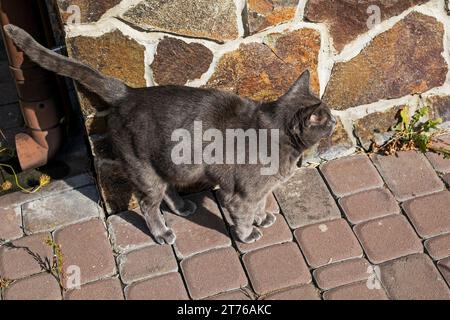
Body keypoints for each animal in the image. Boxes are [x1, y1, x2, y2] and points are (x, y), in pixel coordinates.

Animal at [2, 25, 334, 244]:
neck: (277, 137)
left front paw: (262, 217)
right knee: (148, 203)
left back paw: (184, 207)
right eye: (327, 119)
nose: (333, 122)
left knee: (168, 189)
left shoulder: (260, 189)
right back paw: (162, 232)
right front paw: (248, 232)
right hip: (143, 168)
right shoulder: (239, 194)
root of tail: (128, 93)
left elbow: (262, 203)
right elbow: (242, 214)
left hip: (173, 162)